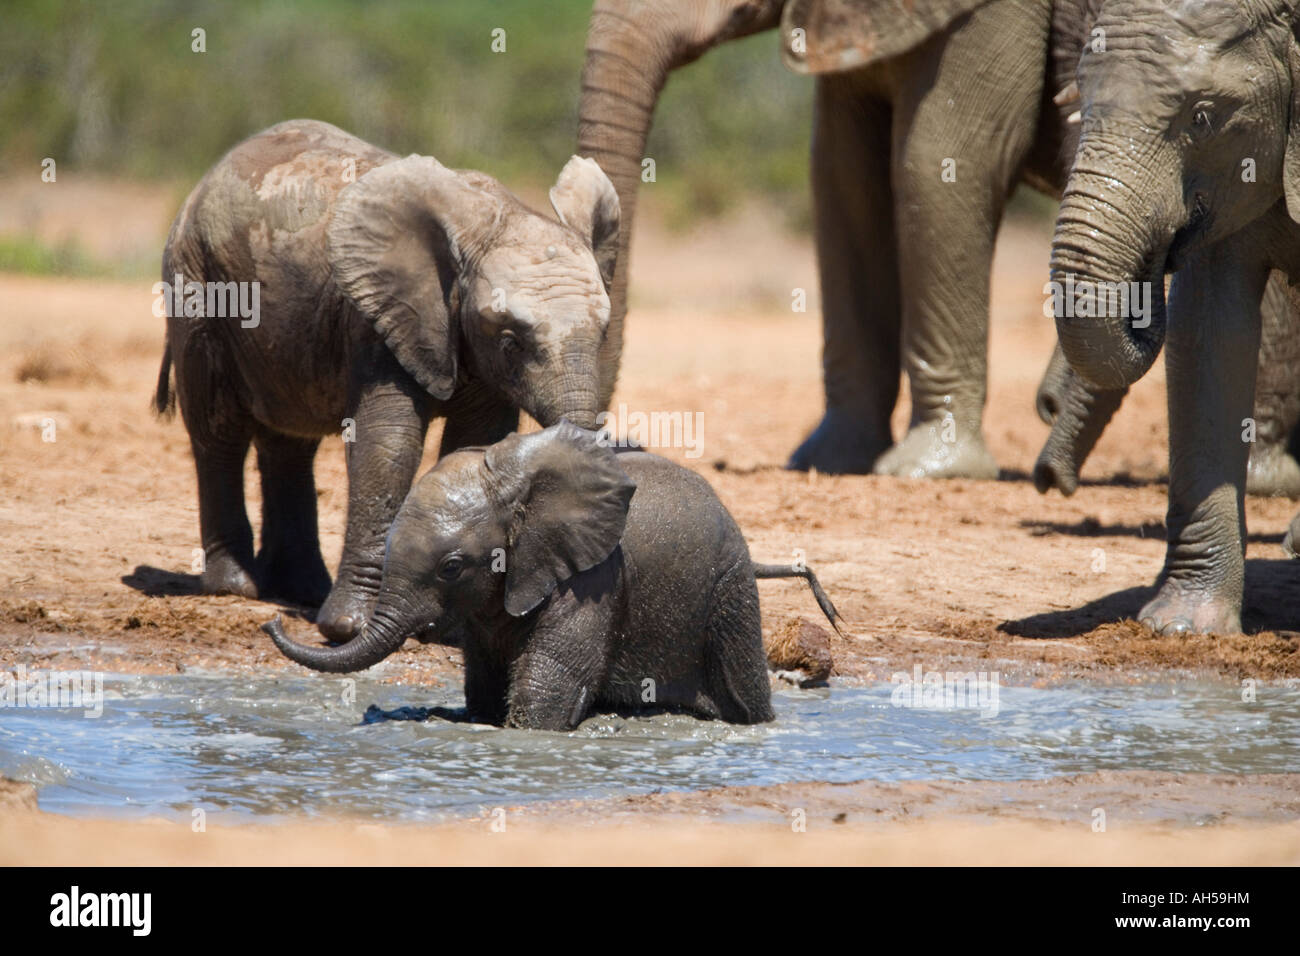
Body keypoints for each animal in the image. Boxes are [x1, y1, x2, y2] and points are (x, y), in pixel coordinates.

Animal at [154, 119, 621, 642]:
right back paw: (235, 587)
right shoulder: (376, 318)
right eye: (510, 342)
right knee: (219, 429)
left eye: (604, 333)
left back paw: (301, 590)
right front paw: (349, 628)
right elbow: (389, 445)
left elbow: (477, 442)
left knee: (289, 439)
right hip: (199, 289)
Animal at [269, 421, 847, 728]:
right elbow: (485, 686)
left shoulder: (595, 578)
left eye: (452, 567)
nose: (271, 622)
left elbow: (547, 688)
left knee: (745, 692)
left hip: (729, 586)